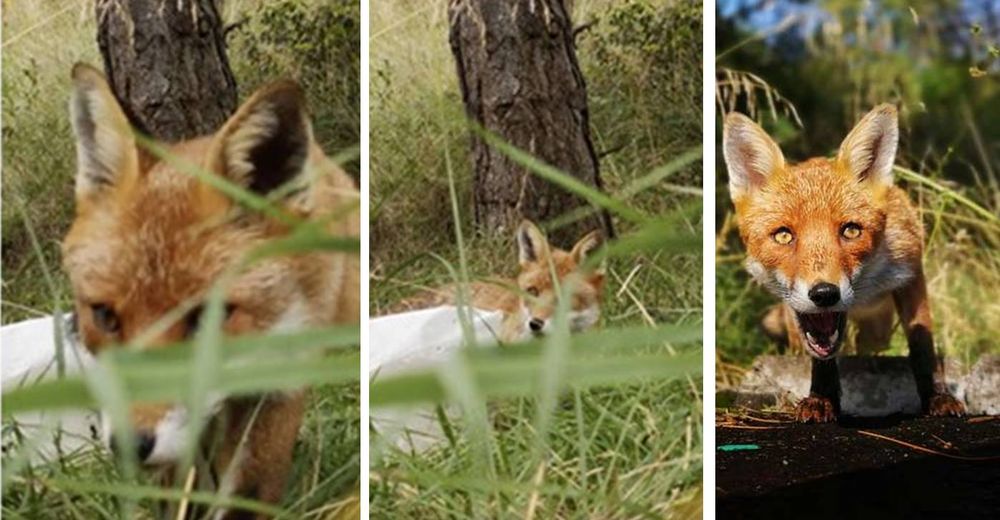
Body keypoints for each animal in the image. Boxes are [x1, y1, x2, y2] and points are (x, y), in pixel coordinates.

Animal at [724, 102, 964, 422]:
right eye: (784, 236)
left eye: (851, 230)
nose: (825, 294)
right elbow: (820, 356)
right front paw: (821, 399)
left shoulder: (912, 273)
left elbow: (922, 345)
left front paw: (938, 398)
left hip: (878, 330)